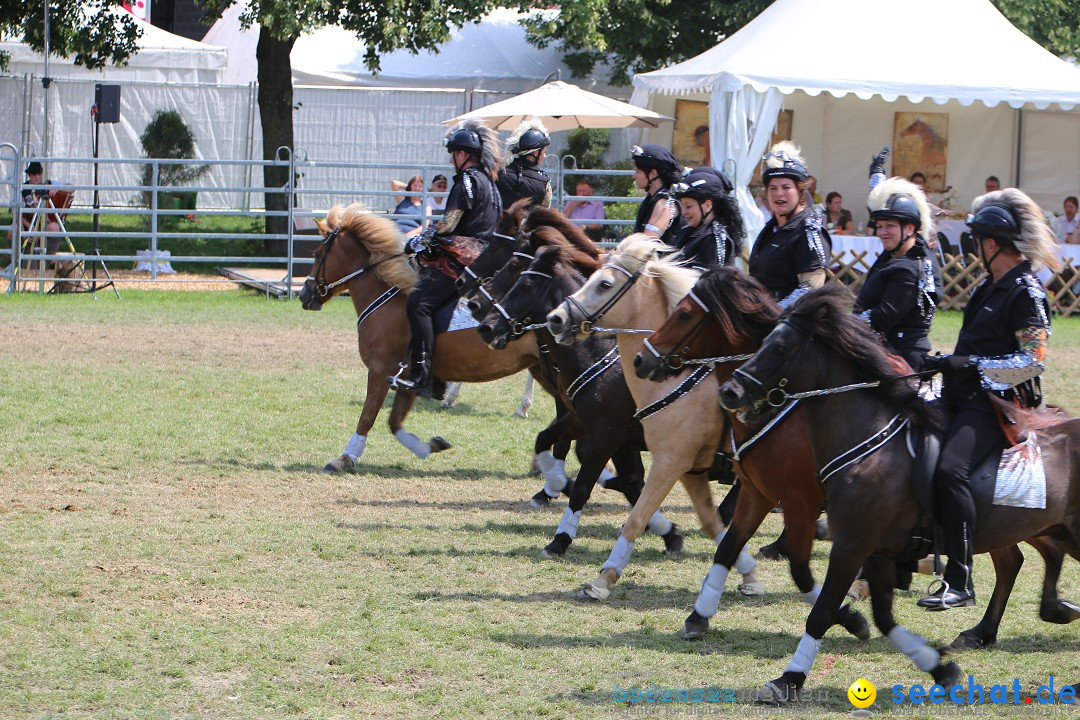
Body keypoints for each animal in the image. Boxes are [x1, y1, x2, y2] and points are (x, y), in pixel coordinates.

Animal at [295, 202, 565, 472]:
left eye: (317, 254)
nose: (305, 294)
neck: (388, 298)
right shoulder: (406, 381)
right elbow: (394, 422)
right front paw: (427, 446)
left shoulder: (380, 371)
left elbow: (368, 417)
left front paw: (345, 458)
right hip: (542, 369)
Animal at [630, 268, 868, 643]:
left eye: (684, 314)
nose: (642, 359)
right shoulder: (752, 491)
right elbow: (726, 543)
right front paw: (698, 617)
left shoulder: (799, 500)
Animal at [717, 287, 1080, 703]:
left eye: (780, 346)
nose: (730, 391)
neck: (869, 445)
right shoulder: (876, 550)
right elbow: (884, 618)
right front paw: (940, 668)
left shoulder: (851, 544)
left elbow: (822, 612)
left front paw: (788, 679)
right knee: (1019, 562)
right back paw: (1014, 622)